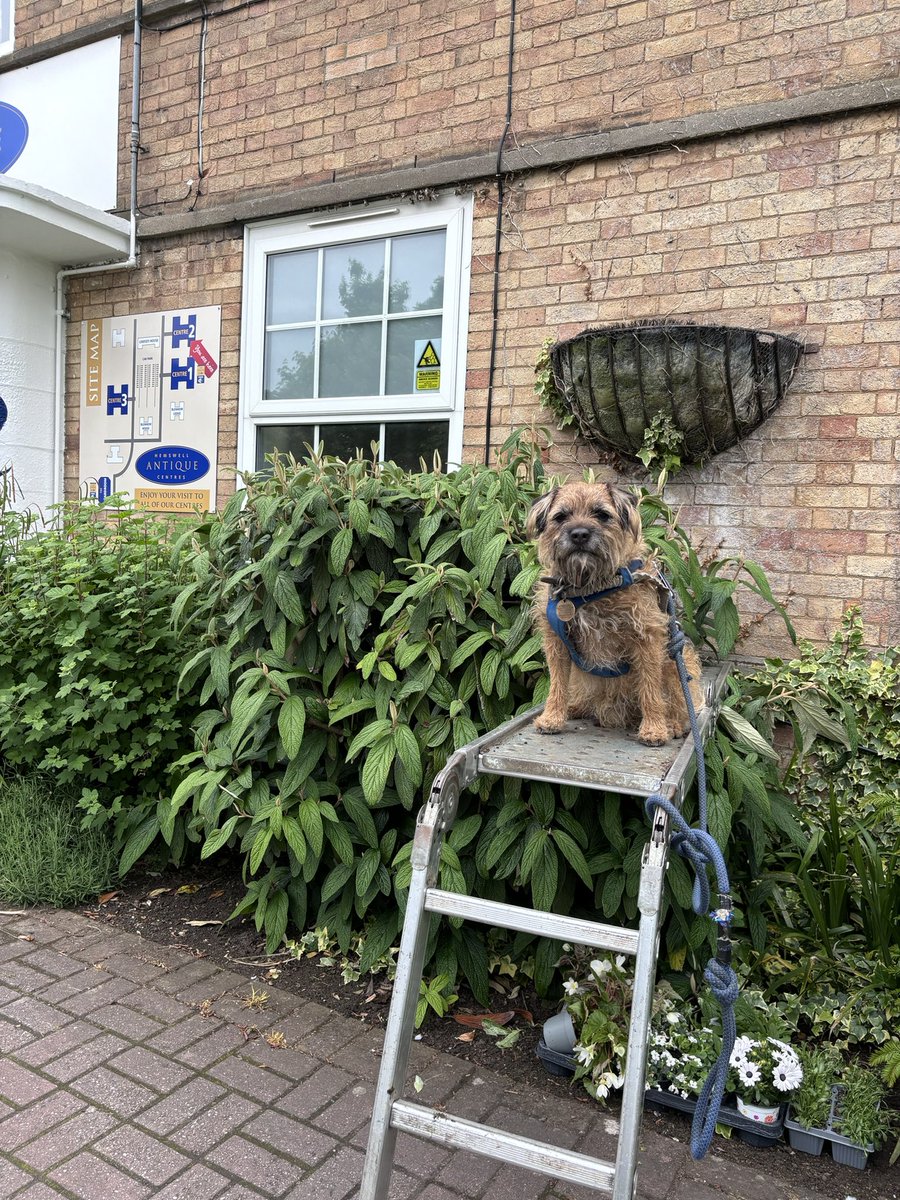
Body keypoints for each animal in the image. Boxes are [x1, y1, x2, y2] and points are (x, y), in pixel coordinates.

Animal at [525, 482, 710, 744]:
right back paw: (576, 707)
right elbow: (557, 683)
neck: (590, 587)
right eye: (560, 517)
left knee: (679, 703)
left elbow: (650, 686)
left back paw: (672, 724)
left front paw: (654, 728)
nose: (579, 534)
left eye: (602, 515)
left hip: (677, 666)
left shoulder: (648, 640)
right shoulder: (557, 642)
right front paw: (552, 717)